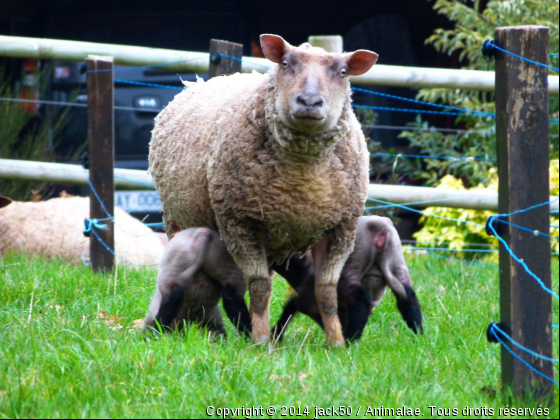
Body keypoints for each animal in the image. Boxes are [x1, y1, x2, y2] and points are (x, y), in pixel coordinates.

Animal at [149, 34, 378, 346]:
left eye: (342, 72)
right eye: (285, 64)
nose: (309, 101)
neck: (303, 182)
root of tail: (194, 83)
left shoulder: (341, 229)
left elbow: (326, 291)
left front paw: (337, 343)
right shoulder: (239, 223)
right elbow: (258, 288)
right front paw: (259, 342)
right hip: (177, 219)